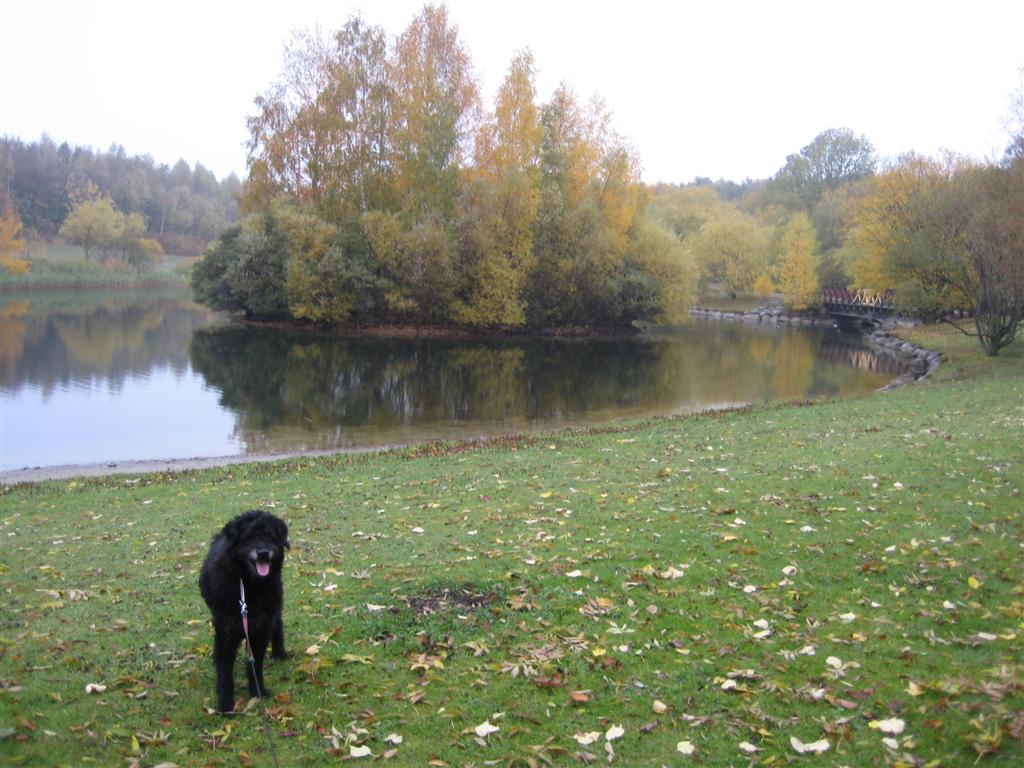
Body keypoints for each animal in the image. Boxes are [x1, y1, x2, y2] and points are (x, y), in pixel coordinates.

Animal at [199, 509, 290, 713]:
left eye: (270, 535)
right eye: (249, 537)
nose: (263, 552)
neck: (249, 587)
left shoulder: (261, 628)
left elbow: (255, 665)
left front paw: (258, 691)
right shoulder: (226, 634)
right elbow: (225, 672)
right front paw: (225, 704)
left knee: (278, 624)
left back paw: (279, 653)